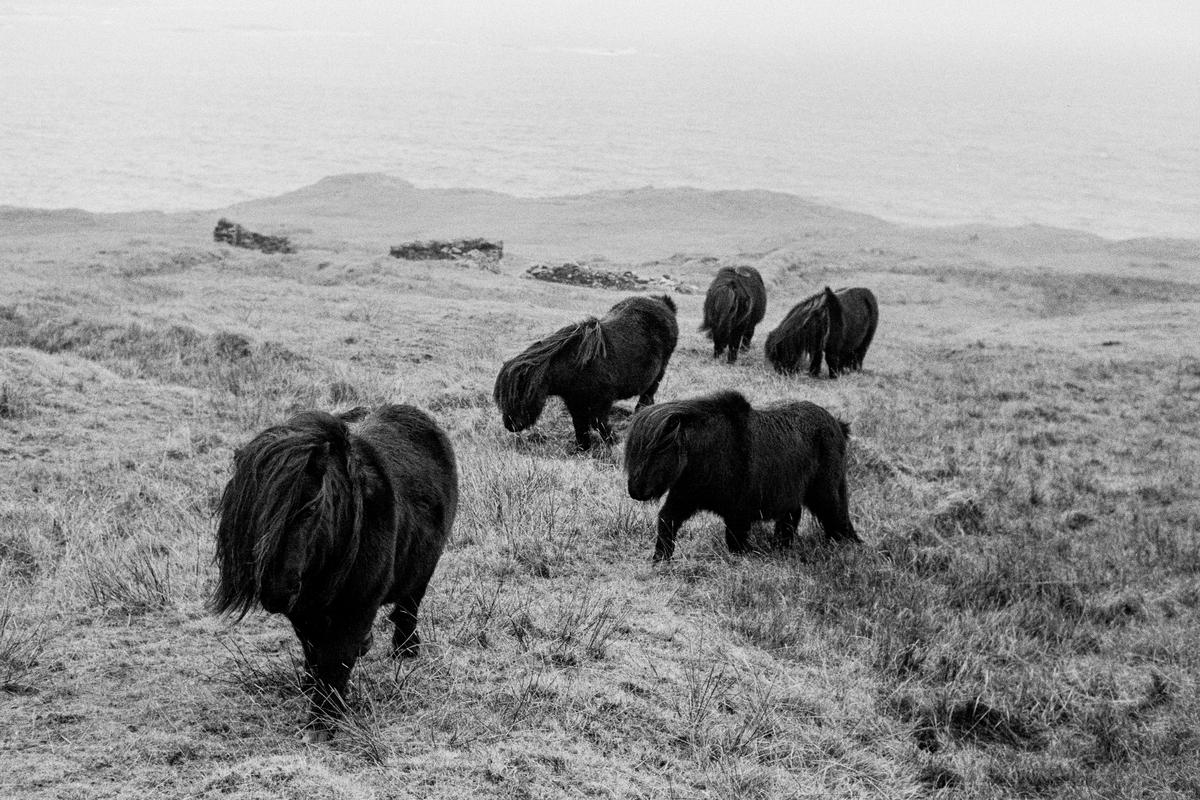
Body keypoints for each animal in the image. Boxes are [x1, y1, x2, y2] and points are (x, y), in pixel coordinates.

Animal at [213, 402, 456, 743]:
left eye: (313, 508)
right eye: (253, 514)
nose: (277, 590)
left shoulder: (358, 604)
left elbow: (336, 655)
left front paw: (322, 721)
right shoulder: (303, 609)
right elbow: (314, 648)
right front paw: (315, 688)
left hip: (423, 569)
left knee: (409, 607)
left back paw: (406, 650)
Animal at [487, 297, 676, 453]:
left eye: (521, 394)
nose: (510, 425)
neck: (575, 366)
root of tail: (664, 303)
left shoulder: (602, 401)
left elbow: (597, 422)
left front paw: (613, 442)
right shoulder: (574, 402)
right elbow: (579, 425)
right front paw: (582, 448)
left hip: (659, 373)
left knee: (647, 396)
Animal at [624, 391, 859, 561]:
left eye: (658, 450)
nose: (634, 491)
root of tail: (838, 425)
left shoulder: (739, 511)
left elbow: (736, 542)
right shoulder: (684, 497)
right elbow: (667, 522)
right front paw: (660, 559)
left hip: (826, 491)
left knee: (837, 518)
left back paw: (849, 547)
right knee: (793, 518)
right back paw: (780, 547)